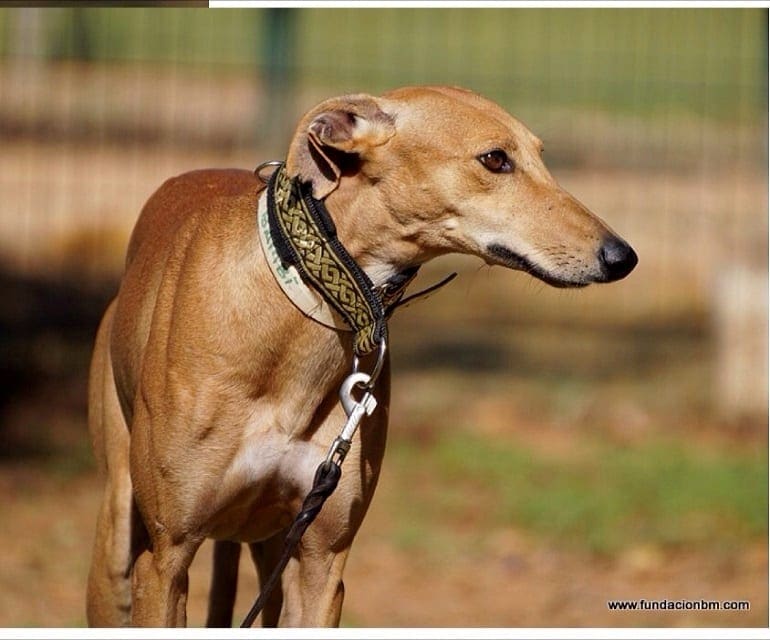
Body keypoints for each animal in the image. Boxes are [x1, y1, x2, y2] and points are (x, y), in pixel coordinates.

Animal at [85, 85, 637, 627]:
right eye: (495, 159)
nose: (622, 257)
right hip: (120, 546)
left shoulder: (322, 560)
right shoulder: (167, 555)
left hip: (272, 549)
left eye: (541, 155)